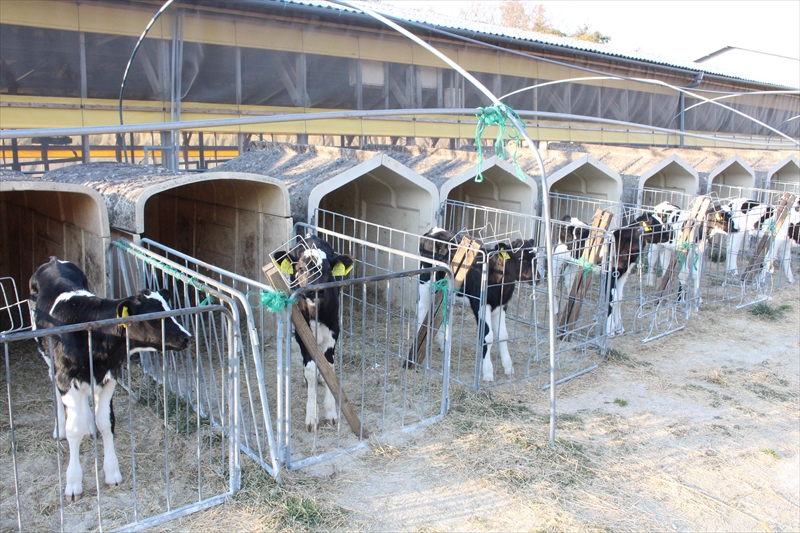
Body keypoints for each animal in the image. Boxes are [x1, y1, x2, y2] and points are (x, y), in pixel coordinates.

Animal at [28, 256, 192, 500]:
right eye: (153, 319)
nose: (187, 337)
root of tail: (54, 261)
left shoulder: (109, 376)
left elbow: (106, 422)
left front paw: (112, 472)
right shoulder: (66, 378)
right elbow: (74, 429)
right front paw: (73, 483)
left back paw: (88, 424)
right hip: (47, 356)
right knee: (55, 387)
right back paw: (60, 428)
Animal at [272, 235, 354, 430]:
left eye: (328, 270)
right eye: (301, 269)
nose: (314, 291)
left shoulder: (334, 329)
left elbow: (329, 366)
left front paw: (331, 412)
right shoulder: (302, 332)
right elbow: (310, 369)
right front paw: (312, 416)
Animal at [412, 229, 536, 382]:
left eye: (535, 256)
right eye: (520, 258)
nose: (538, 277)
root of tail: (434, 231)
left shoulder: (501, 305)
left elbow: (503, 335)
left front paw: (508, 367)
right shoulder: (481, 304)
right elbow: (487, 337)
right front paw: (488, 373)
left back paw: (442, 344)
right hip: (426, 281)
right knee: (422, 310)